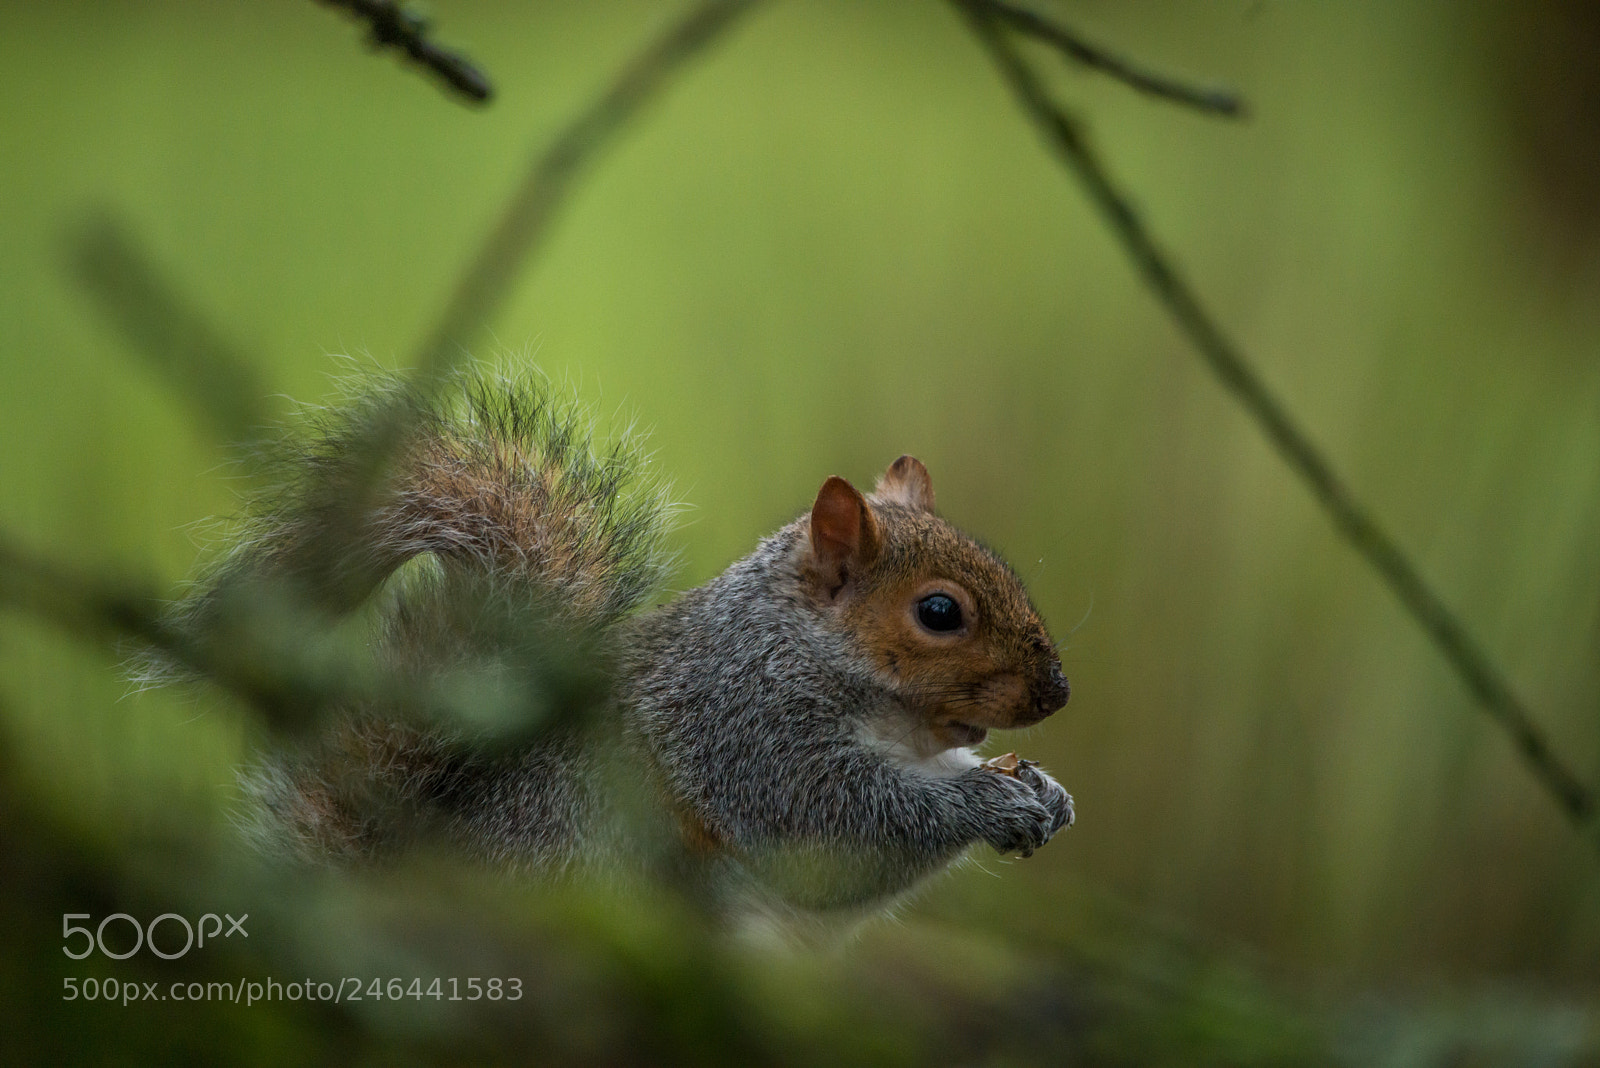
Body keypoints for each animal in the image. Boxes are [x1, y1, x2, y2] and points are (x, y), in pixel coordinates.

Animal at [164, 370, 1073, 940]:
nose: (1057, 693)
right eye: (939, 612)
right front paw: (988, 803)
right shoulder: (745, 729)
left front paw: (1044, 791)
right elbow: (837, 826)